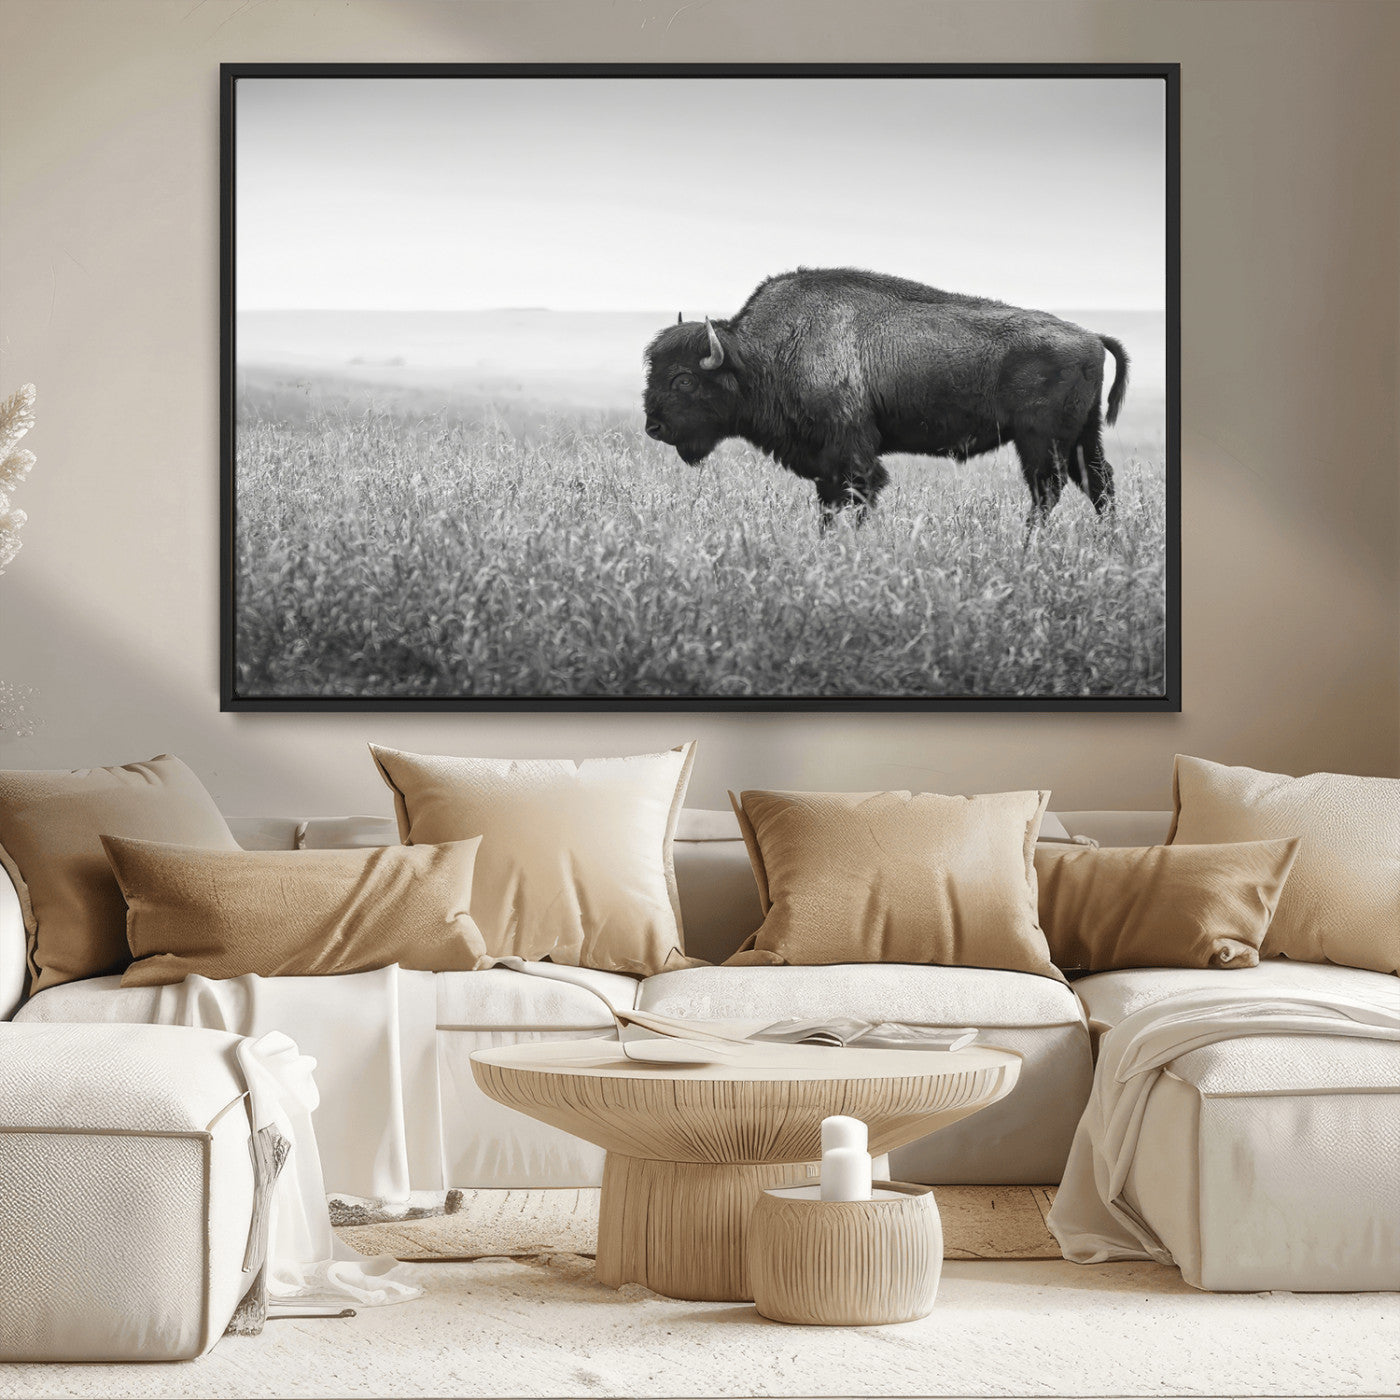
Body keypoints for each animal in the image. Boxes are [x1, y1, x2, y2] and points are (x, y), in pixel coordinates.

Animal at [643, 267, 1129, 530]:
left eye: (684, 380)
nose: (653, 427)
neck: (763, 355)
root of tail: (1091, 336)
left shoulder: (852, 453)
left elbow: (859, 496)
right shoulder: (825, 462)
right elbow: (829, 504)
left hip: (1040, 441)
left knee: (1048, 490)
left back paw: (1028, 544)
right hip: (1082, 436)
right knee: (1098, 483)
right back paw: (1107, 541)